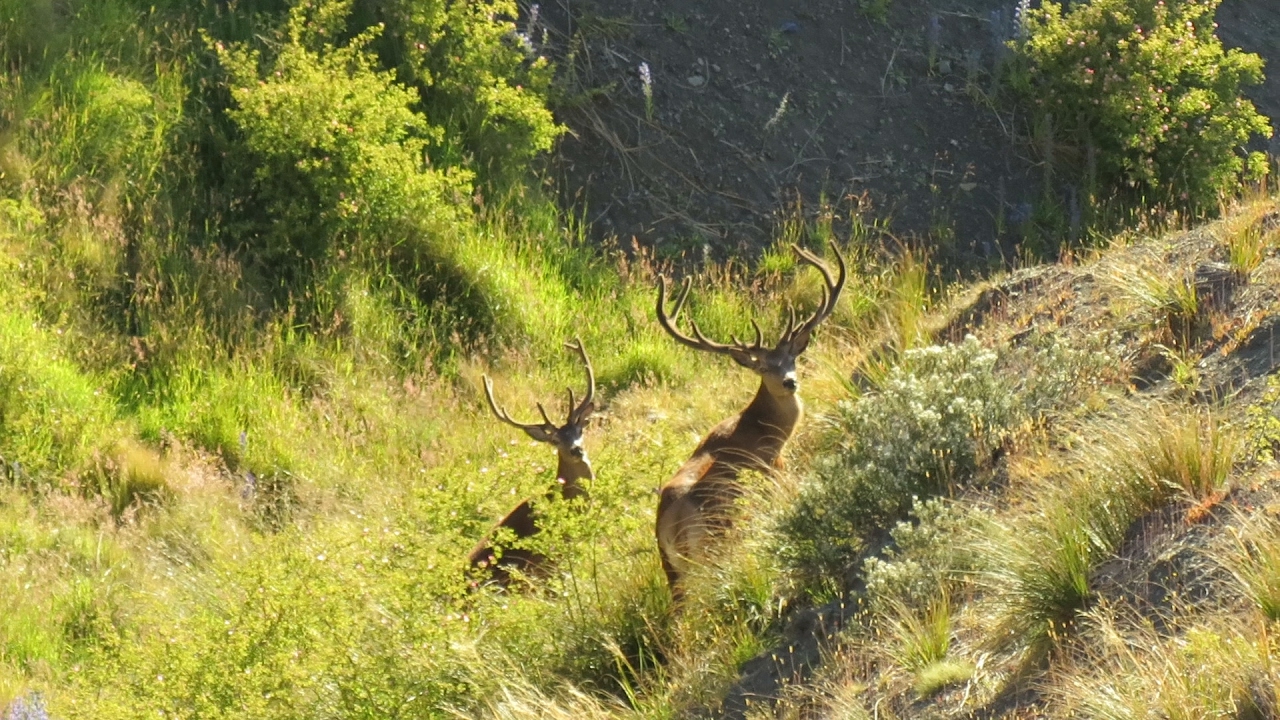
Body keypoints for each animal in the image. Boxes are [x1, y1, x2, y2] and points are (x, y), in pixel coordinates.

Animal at [654, 242, 846, 597]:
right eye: (764, 367)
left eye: (792, 358)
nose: (789, 382)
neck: (768, 433)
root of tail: (672, 523)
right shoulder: (777, 473)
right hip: (717, 540)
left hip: (671, 570)